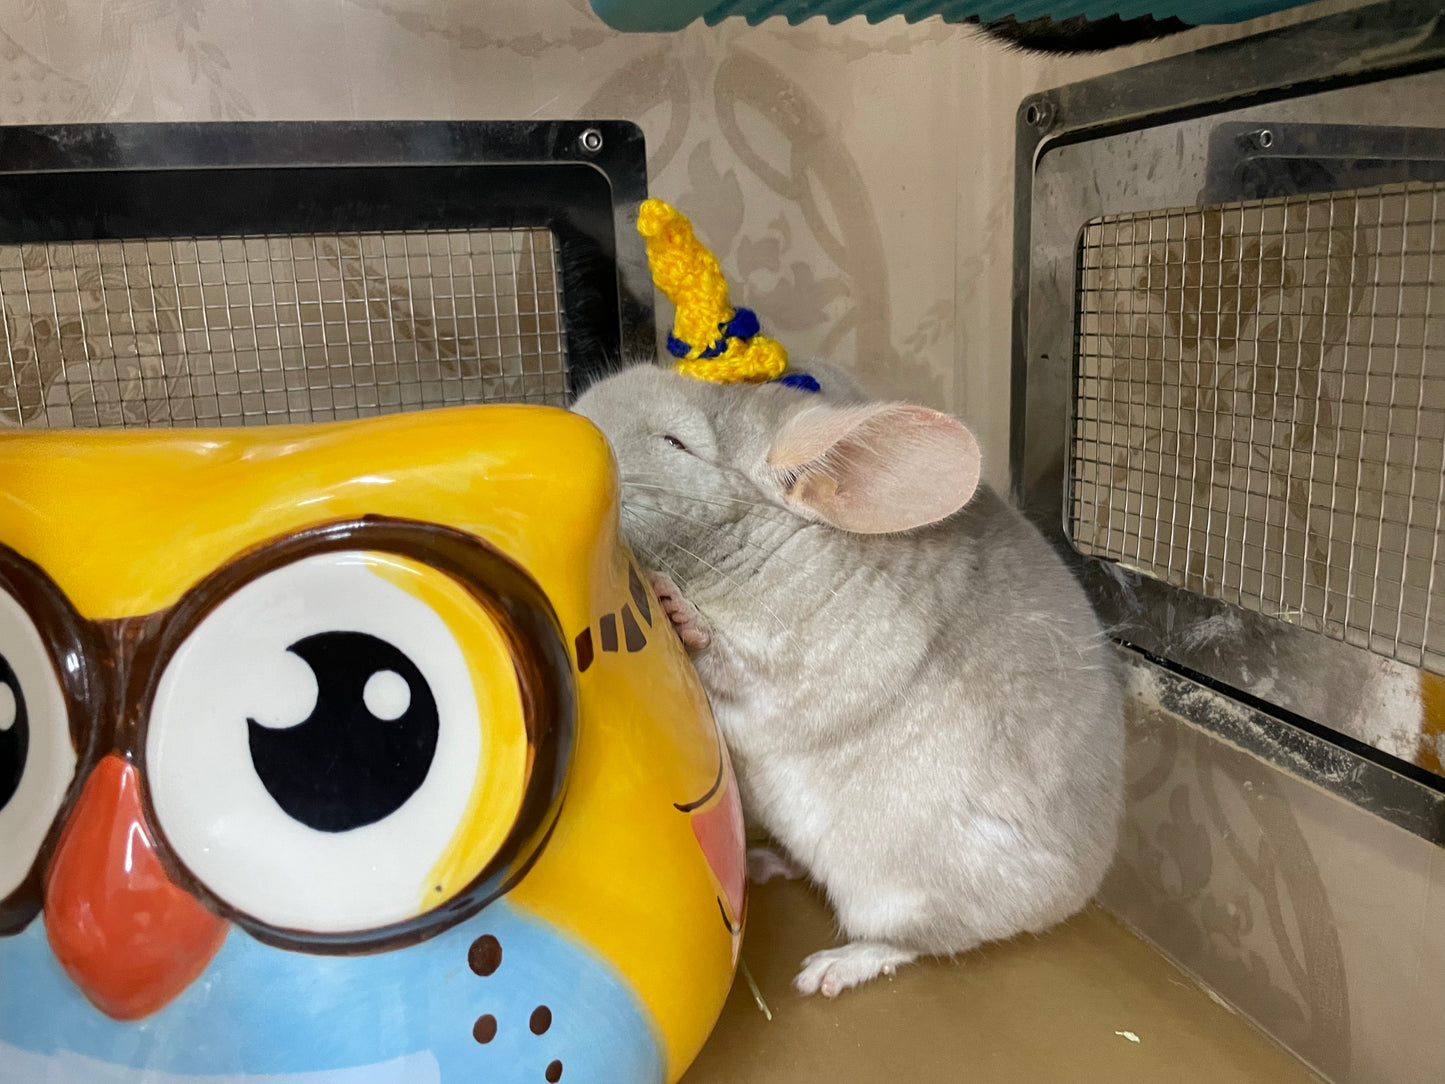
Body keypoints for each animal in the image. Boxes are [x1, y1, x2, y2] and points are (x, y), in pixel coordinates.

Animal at [571, 361, 1124, 998]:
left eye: (674, 442)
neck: (764, 538)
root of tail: (1078, 890)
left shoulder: (788, 664)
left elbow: (727, 659)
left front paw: (673, 606)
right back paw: (765, 863)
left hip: (899, 895)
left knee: (917, 942)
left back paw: (830, 969)